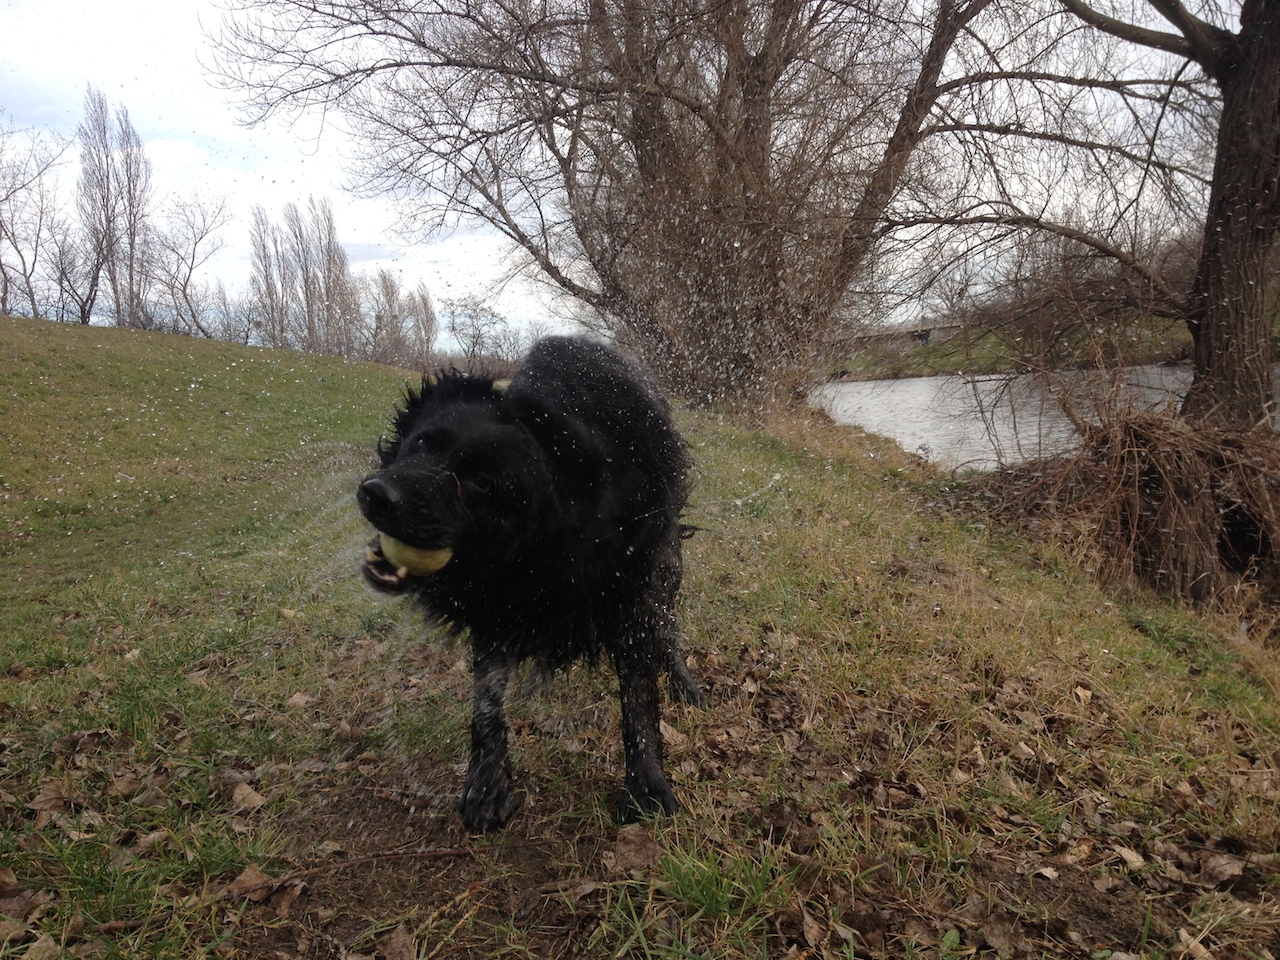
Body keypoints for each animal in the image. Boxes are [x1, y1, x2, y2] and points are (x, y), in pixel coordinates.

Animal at [358, 337, 701, 834]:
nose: (375, 493)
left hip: (667, 568)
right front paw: (486, 786)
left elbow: (638, 702)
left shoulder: (630, 592)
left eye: (484, 483)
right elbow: (486, 705)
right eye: (422, 442)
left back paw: (682, 681)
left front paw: (647, 788)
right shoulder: (497, 606)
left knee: (668, 625)